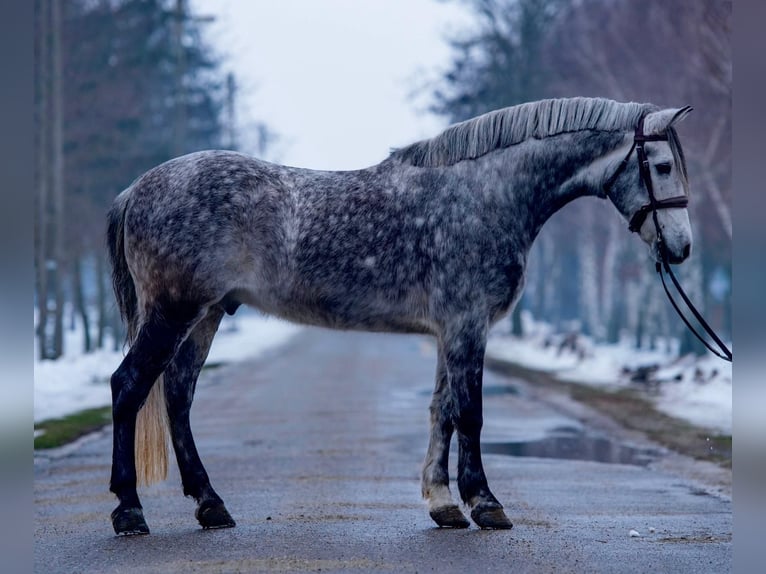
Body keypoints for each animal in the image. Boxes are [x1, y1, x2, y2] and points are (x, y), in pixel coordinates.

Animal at [106, 97, 693, 535]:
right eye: (663, 166)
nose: (682, 248)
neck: (485, 193)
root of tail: (137, 188)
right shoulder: (467, 325)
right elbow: (471, 413)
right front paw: (485, 503)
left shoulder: (449, 330)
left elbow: (442, 411)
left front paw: (443, 504)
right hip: (174, 313)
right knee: (129, 387)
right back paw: (129, 511)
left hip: (205, 316)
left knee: (177, 396)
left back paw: (211, 505)